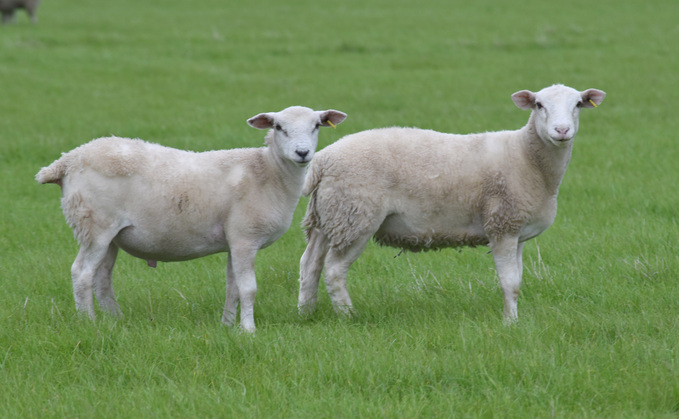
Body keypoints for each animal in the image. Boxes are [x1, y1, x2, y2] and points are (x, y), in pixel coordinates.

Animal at [36, 106, 347, 332]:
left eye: (316, 125)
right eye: (279, 128)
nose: (302, 153)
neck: (269, 173)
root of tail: (67, 161)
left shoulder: (234, 241)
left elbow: (233, 288)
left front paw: (227, 326)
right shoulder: (245, 238)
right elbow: (248, 289)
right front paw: (248, 330)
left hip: (111, 235)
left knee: (101, 279)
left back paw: (116, 320)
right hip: (94, 225)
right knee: (81, 274)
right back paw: (88, 323)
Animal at [298, 84, 605, 322]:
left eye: (578, 104)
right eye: (539, 105)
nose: (562, 130)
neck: (527, 158)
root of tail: (323, 160)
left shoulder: (518, 233)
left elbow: (518, 281)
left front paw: (514, 319)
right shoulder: (502, 225)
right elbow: (509, 283)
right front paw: (509, 324)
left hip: (329, 217)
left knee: (309, 265)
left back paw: (306, 313)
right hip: (355, 216)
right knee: (334, 271)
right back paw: (349, 316)